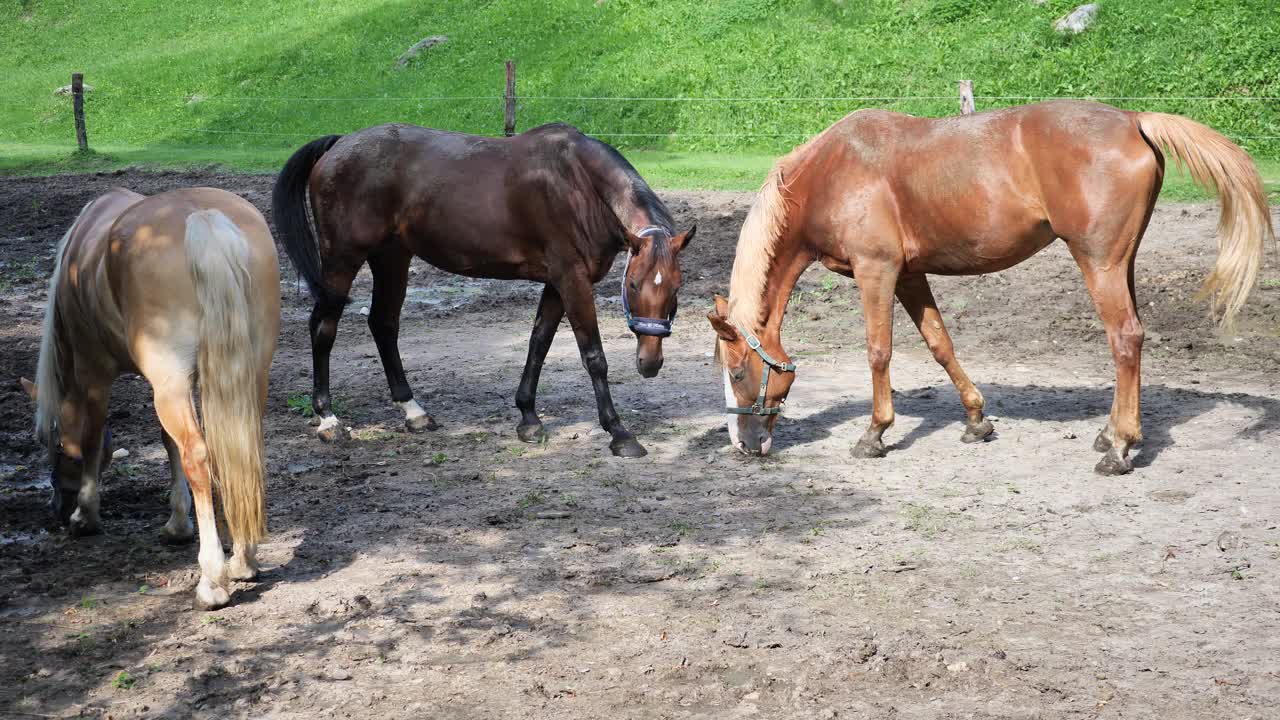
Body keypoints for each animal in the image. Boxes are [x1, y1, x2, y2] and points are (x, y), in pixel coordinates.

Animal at [20, 184, 281, 604]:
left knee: (198, 456)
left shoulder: (94, 371)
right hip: (248, 374)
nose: (58, 507)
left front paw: (85, 515)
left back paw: (212, 579)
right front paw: (177, 524)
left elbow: (93, 437)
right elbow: (167, 443)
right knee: (242, 450)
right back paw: (244, 560)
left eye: (53, 445)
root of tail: (203, 217)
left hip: (171, 385)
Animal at [273, 117, 696, 453]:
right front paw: (619, 432)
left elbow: (539, 343)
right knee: (323, 328)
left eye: (676, 289)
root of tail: (339, 143)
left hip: (392, 258)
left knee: (383, 324)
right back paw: (328, 420)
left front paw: (528, 417)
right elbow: (593, 356)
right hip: (342, 261)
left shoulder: (557, 282)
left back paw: (413, 411)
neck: (579, 184)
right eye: (633, 284)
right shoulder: (572, 280)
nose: (649, 363)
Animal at [706, 99, 1274, 471]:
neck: (832, 173)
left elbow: (878, 351)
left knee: (1125, 339)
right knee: (1130, 342)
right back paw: (1111, 434)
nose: (741, 444)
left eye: (736, 373)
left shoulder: (877, 271)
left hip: (1100, 264)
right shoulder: (910, 275)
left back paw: (1119, 447)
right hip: (1121, 264)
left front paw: (875, 433)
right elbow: (940, 344)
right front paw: (976, 419)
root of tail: (1135, 121)